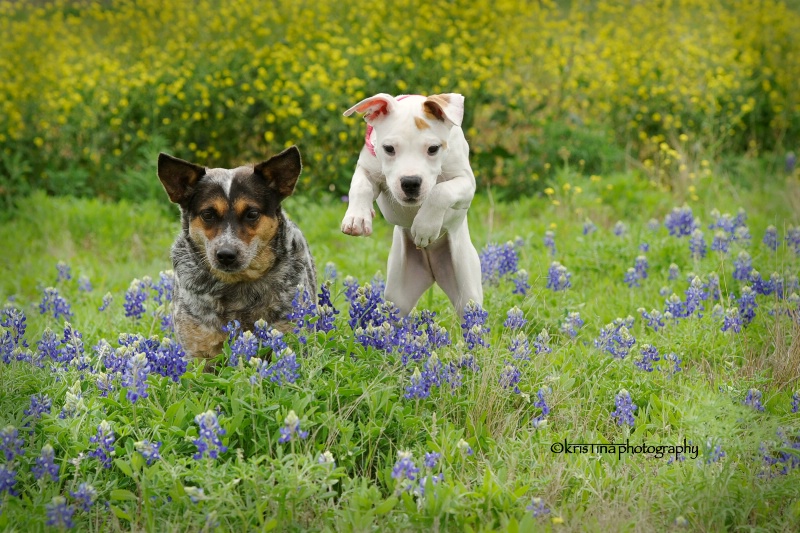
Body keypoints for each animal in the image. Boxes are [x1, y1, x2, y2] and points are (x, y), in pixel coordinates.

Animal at [342, 93, 484, 314]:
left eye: (433, 149)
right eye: (389, 149)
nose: (410, 182)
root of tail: (432, 271)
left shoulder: (467, 183)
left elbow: (440, 191)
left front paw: (425, 228)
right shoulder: (367, 169)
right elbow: (360, 186)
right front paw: (357, 218)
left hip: (468, 292)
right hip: (397, 296)